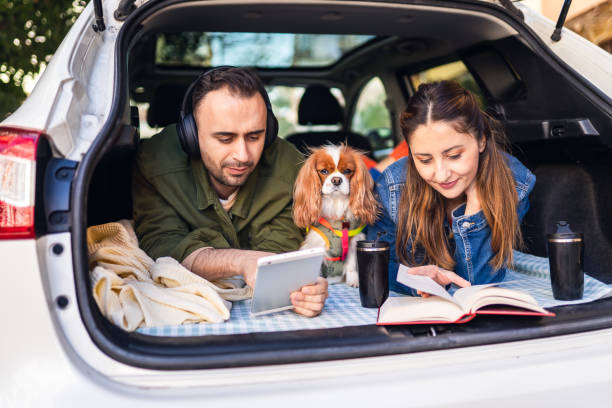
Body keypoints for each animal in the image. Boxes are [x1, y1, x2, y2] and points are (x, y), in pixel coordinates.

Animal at [292, 145, 378, 286]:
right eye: (324, 171)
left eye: (347, 171)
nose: (336, 180)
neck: (336, 202)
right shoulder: (317, 244)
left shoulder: (354, 240)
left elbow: (351, 265)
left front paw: (353, 281)